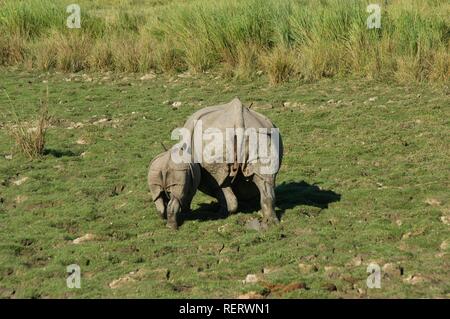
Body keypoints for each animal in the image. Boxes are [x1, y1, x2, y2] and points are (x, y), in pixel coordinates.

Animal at [182, 97, 282, 225]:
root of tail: (238, 118)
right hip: (261, 135)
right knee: (266, 180)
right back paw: (271, 223)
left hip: (215, 139)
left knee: (218, 184)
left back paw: (216, 214)